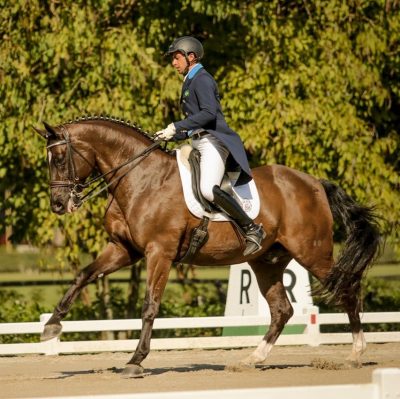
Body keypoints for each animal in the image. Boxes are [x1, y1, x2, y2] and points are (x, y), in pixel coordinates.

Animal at [33, 116, 378, 378]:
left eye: (60, 159)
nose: (59, 205)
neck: (140, 178)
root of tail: (315, 183)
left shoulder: (159, 252)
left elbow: (149, 305)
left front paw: (136, 361)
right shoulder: (123, 249)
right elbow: (84, 275)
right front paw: (51, 326)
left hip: (313, 253)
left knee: (347, 290)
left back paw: (355, 354)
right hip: (267, 261)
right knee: (282, 310)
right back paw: (252, 359)